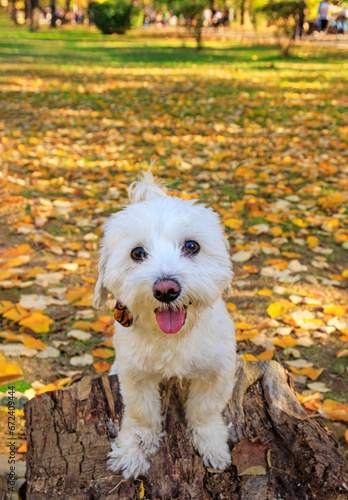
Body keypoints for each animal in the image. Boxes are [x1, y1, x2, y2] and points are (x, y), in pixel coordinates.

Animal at [93, 172, 237, 480]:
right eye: (137, 253)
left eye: (192, 246)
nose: (166, 290)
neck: (172, 339)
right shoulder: (134, 376)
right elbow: (142, 416)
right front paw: (132, 452)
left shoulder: (218, 372)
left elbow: (204, 412)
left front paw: (212, 445)